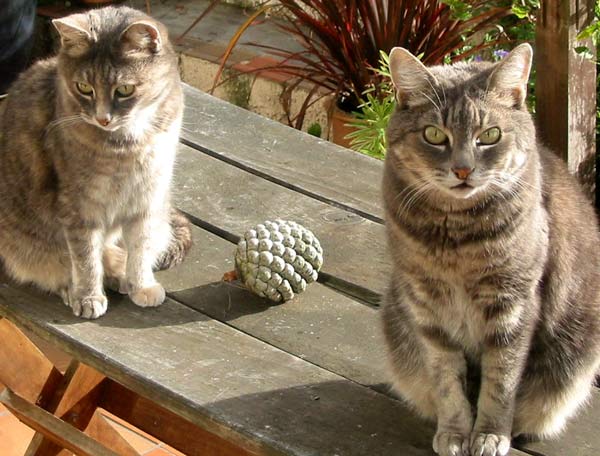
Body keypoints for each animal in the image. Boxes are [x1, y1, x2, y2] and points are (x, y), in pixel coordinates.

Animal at [0, 6, 191, 320]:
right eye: (83, 87)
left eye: (124, 89)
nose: (103, 118)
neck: (129, 144)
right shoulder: (79, 207)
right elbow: (85, 257)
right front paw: (89, 296)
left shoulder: (148, 197)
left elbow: (140, 247)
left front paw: (141, 284)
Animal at [382, 42, 600, 456]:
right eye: (434, 135)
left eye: (490, 135)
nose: (463, 170)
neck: (456, 240)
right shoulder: (427, 308)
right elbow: (447, 382)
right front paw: (455, 433)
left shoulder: (512, 304)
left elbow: (501, 382)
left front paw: (488, 435)